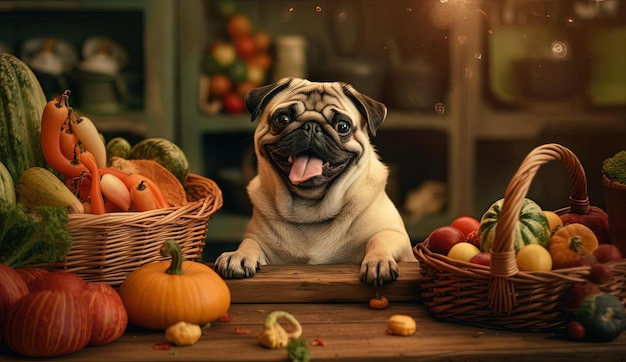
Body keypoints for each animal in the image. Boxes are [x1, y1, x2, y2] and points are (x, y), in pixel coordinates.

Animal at [213, 77, 414, 286]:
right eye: (282, 119)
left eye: (343, 126)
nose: (311, 126)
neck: (310, 210)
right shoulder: (260, 241)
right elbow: (250, 243)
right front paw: (238, 255)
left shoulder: (396, 236)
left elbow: (379, 240)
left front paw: (379, 261)